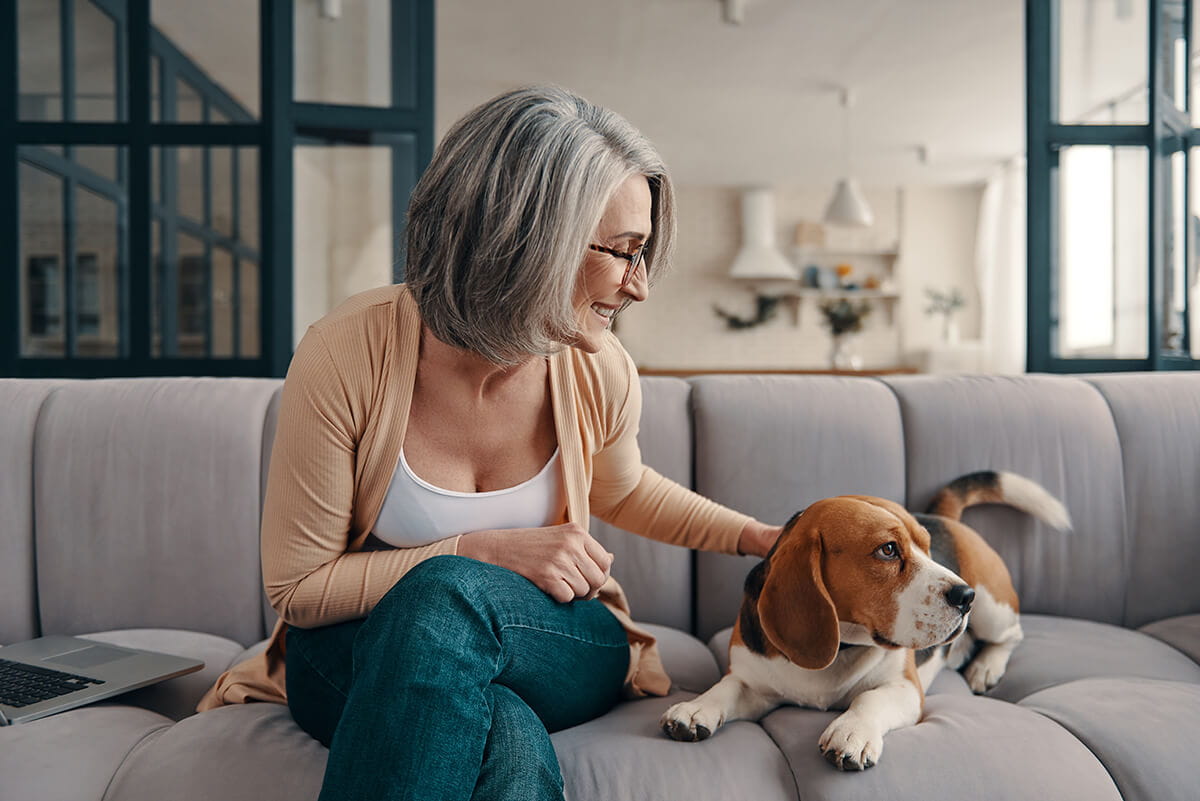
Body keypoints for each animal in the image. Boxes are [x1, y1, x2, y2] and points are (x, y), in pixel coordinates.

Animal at [667, 472, 1070, 772]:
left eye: (927, 548)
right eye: (888, 550)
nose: (963, 595)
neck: (842, 646)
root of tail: (946, 519)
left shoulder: (905, 688)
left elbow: (869, 698)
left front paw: (852, 731)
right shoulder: (754, 680)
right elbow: (727, 688)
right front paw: (695, 708)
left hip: (992, 609)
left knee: (1012, 635)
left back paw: (986, 667)